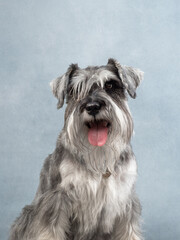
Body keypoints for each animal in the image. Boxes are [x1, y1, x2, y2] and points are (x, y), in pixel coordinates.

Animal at [9, 58, 143, 240]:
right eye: (75, 91)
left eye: (110, 85)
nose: (92, 106)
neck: (99, 159)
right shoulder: (56, 200)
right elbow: (50, 231)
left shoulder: (125, 201)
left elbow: (128, 231)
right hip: (27, 215)